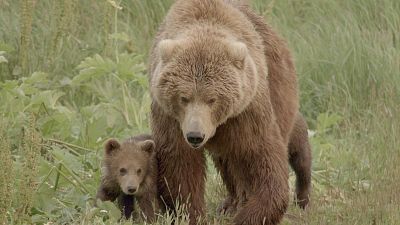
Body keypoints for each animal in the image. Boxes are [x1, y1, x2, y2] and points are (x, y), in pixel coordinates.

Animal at [148, 0, 310, 225]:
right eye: (184, 97)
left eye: (212, 99)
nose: (195, 136)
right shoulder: (171, 118)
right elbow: (180, 166)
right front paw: (191, 213)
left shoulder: (246, 111)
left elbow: (263, 159)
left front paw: (249, 215)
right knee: (227, 162)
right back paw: (230, 202)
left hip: (280, 87)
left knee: (294, 140)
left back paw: (302, 195)